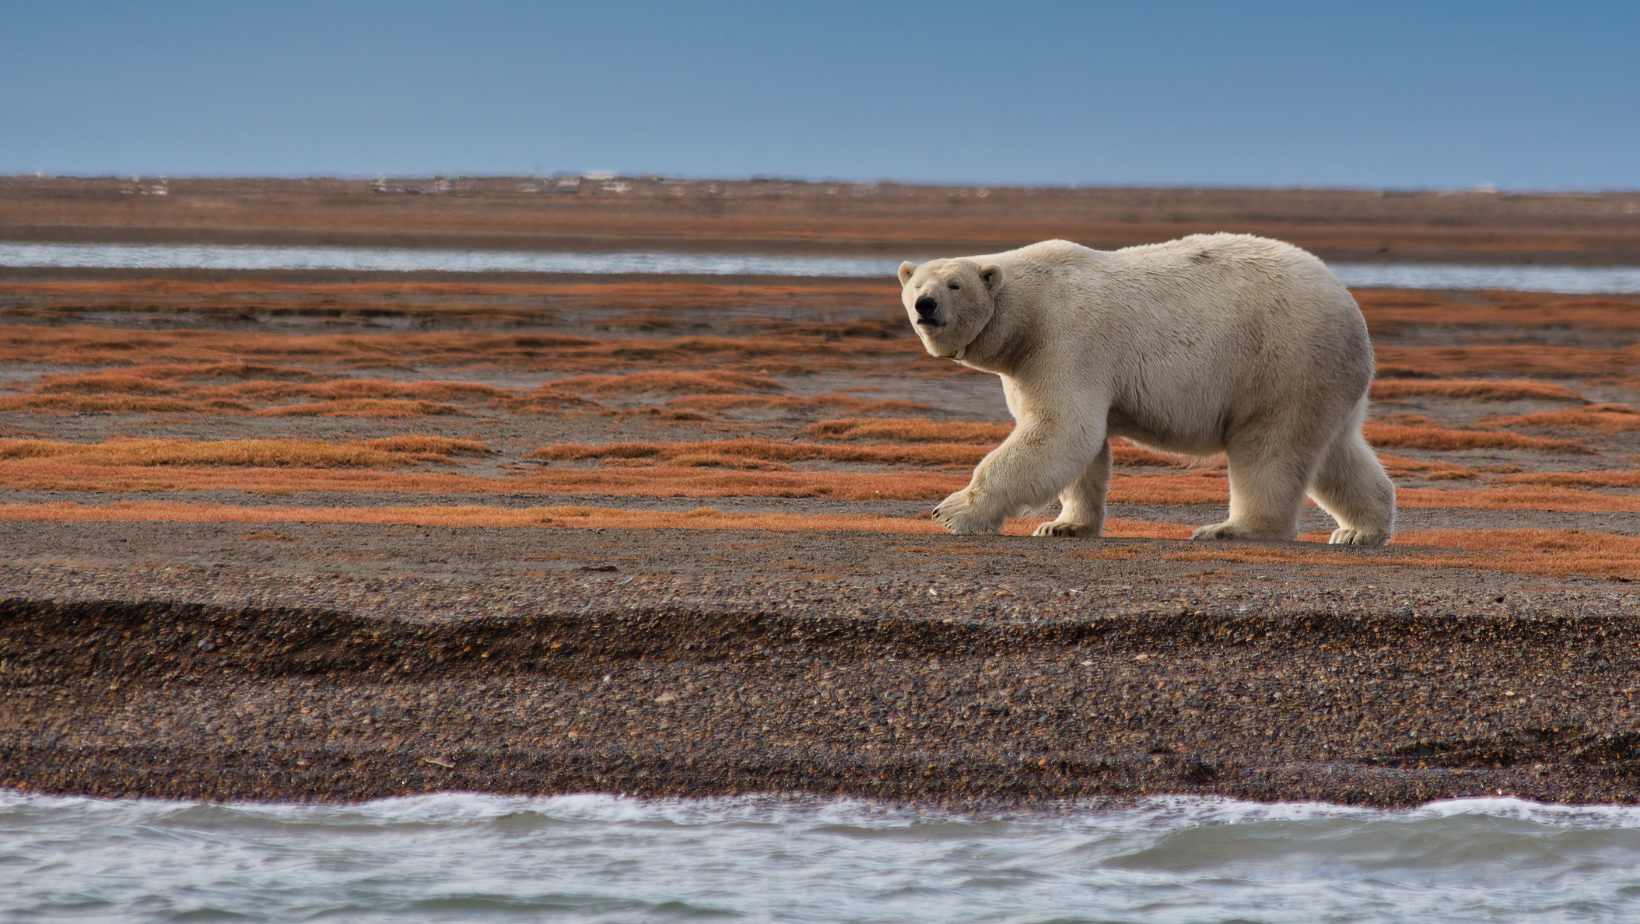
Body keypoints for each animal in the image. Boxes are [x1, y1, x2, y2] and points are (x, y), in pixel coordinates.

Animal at [897, 233, 1395, 545]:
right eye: (916, 283)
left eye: (954, 284)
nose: (925, 305)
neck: (1027, 313)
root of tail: (1350, 307)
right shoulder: (1030, 362)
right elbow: (1081, 447)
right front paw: (1064, 526)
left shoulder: (1065, 340)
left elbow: (1061, 430)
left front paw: (952, 511)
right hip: (1323, 378)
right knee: (1338, 452)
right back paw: (1360, 530)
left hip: (1281, 362)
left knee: (1269, 450)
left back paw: (1231, 529)